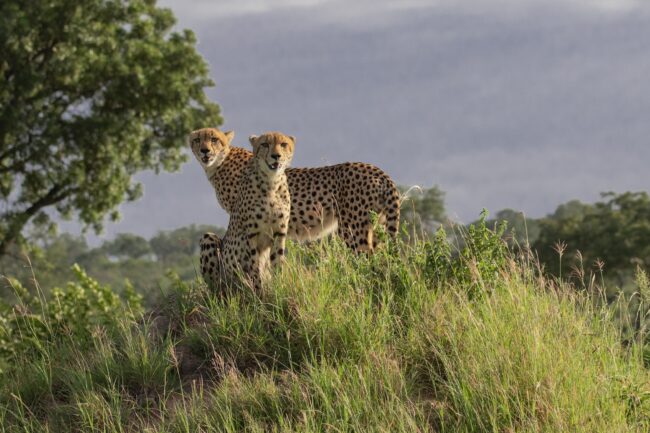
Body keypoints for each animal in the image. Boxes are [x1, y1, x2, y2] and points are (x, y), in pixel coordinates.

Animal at [189, 127, 401, 254]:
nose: (205, 151)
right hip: (376, 224)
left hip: (353, 227)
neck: (220, 163)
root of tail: (376, 169)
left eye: (214, 139)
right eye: (198, 139)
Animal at [198, 131, 294, 292]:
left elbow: (277, 263)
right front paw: (259, 293)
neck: (272, 183)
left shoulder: (279, 233)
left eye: (283, 144)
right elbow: (255, 267)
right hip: (209, 240)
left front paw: (279, 287)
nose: (276, 156)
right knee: (218, 286)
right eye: (265, 144)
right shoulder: (252, 234)